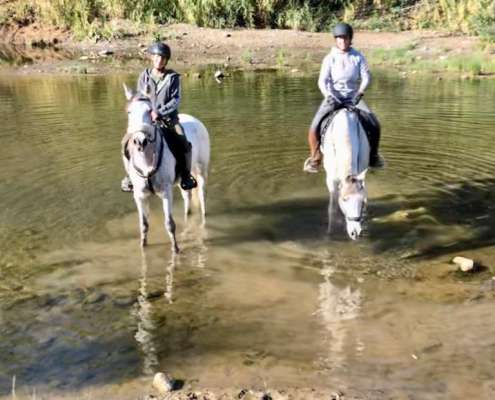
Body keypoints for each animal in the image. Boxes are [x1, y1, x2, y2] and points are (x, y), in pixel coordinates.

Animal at [124, 84, 211, 252]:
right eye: (129, 112)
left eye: (149, 111)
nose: (140, 141)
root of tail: (194, 119)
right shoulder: (140, 196)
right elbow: (144, 225)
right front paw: (143, 247)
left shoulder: (166, 192)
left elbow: (170, 224)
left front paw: (175, 250)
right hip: (183, 179)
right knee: (187, 196)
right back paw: (187, 216)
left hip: (201, 170)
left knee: (202, 195)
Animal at [322, 108, 368, 241]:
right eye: (344, 199)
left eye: (362, 200)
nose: (355, 232)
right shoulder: (331, 181)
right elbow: (332, 208)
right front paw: (330, 233)